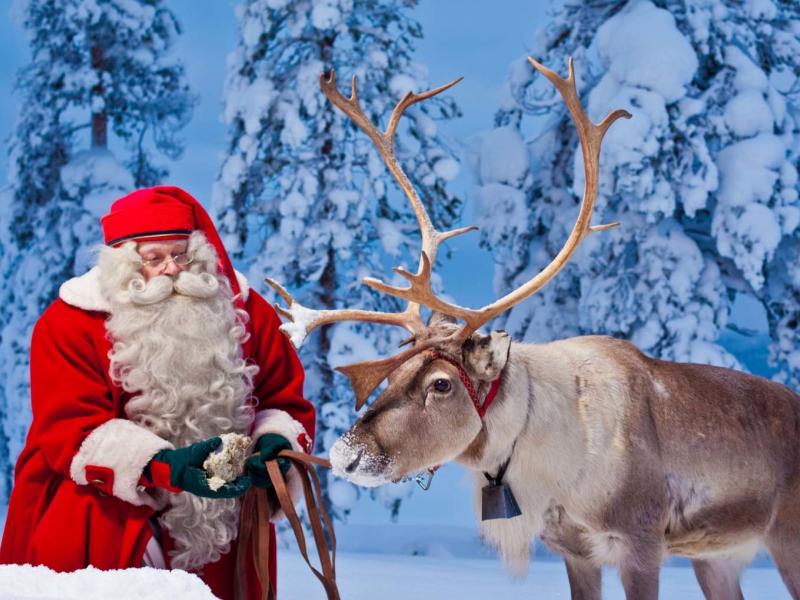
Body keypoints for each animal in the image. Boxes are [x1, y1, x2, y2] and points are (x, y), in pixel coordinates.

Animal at [265, 59, 800, 600]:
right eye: (392, 374)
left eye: (441, 384)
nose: (345, 455)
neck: (554, 467)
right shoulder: (574, 550)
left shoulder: (639, 540)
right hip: (720, 556)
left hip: (785, 538)